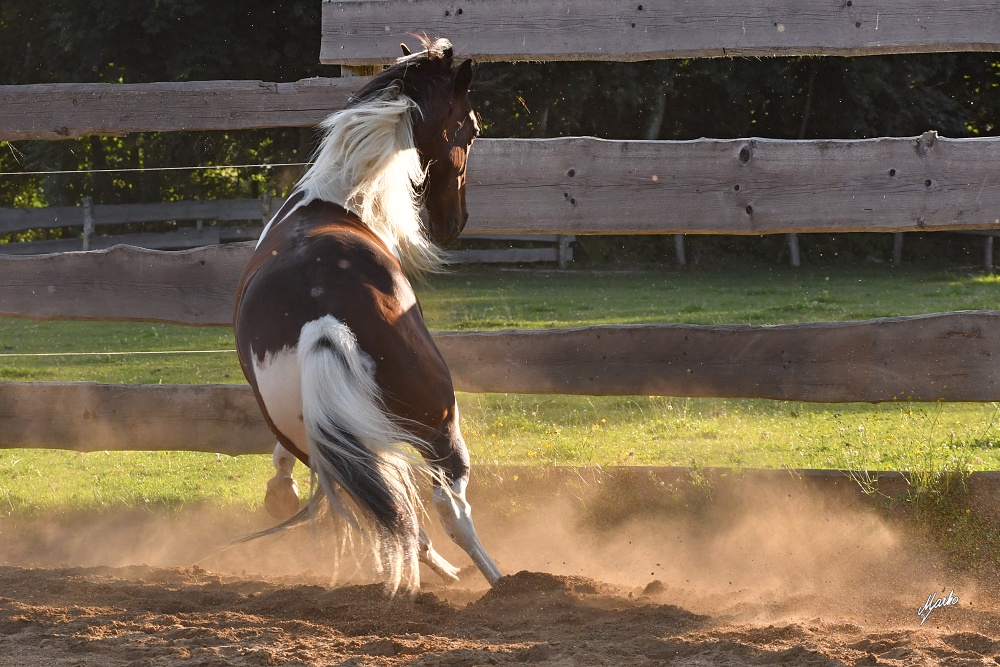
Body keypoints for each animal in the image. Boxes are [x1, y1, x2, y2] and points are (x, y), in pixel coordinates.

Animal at [232, 39, 500, 592]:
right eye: (472, 127)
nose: (455, 221)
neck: (340, 197)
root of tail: (322, 321)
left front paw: (278, 493)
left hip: (331, 439)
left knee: (398, 516)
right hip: (440, 418)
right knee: (449, 507)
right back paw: (498, 579)